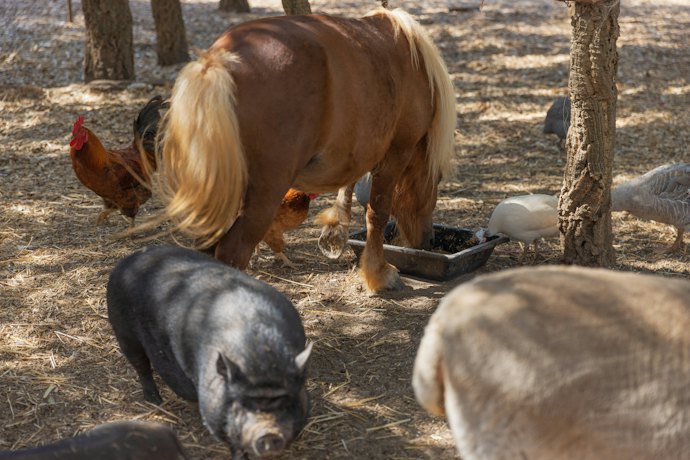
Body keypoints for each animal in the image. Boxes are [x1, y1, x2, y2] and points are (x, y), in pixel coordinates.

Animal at [155, 7, 456, 293]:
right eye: (438, 179)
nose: (427, 240)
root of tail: (218, 62)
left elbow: (348, 189)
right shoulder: (396, 153)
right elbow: (378, 213)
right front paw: (378, 273)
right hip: (264, 195)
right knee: (234, 250)